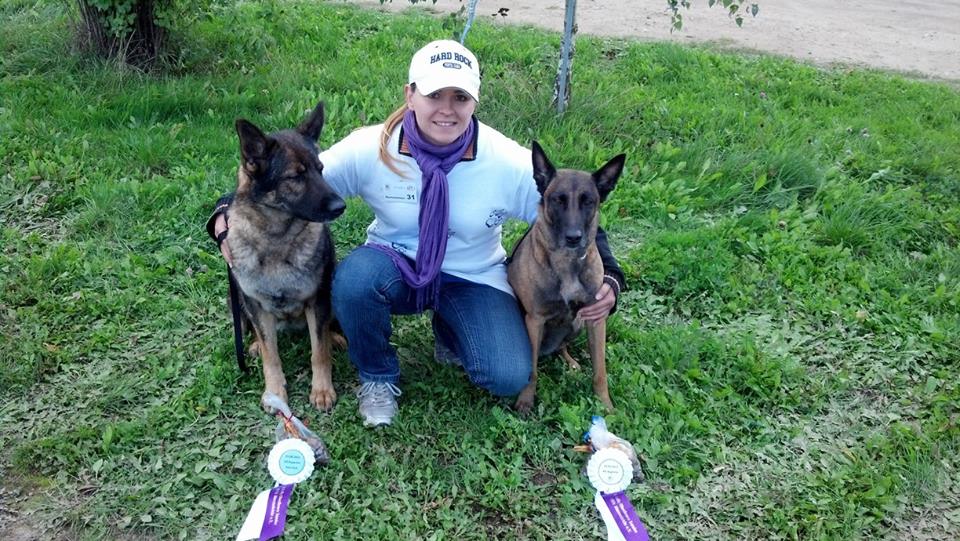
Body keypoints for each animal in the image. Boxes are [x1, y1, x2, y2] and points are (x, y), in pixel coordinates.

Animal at [225, 101, 344, 412]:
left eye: (320, 169)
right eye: (295, 176)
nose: (341, 206)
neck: (277, 241)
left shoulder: (318, 301)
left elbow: (319, 350)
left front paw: (322, 390)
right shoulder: (255, 304)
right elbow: (272, 355)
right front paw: (275, 391)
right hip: (236, 301)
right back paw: (255, 344)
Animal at [506, 141, 628, 412]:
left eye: (588, 201)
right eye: (557, 200)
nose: (574, 237)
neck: (567, 262)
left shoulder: (596, 319)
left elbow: (600, 372)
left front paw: (606, 406)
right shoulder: (534, 321)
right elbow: (531, 371)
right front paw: (526, 402)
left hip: (578, 323)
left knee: (562, 346)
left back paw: (570, 362)